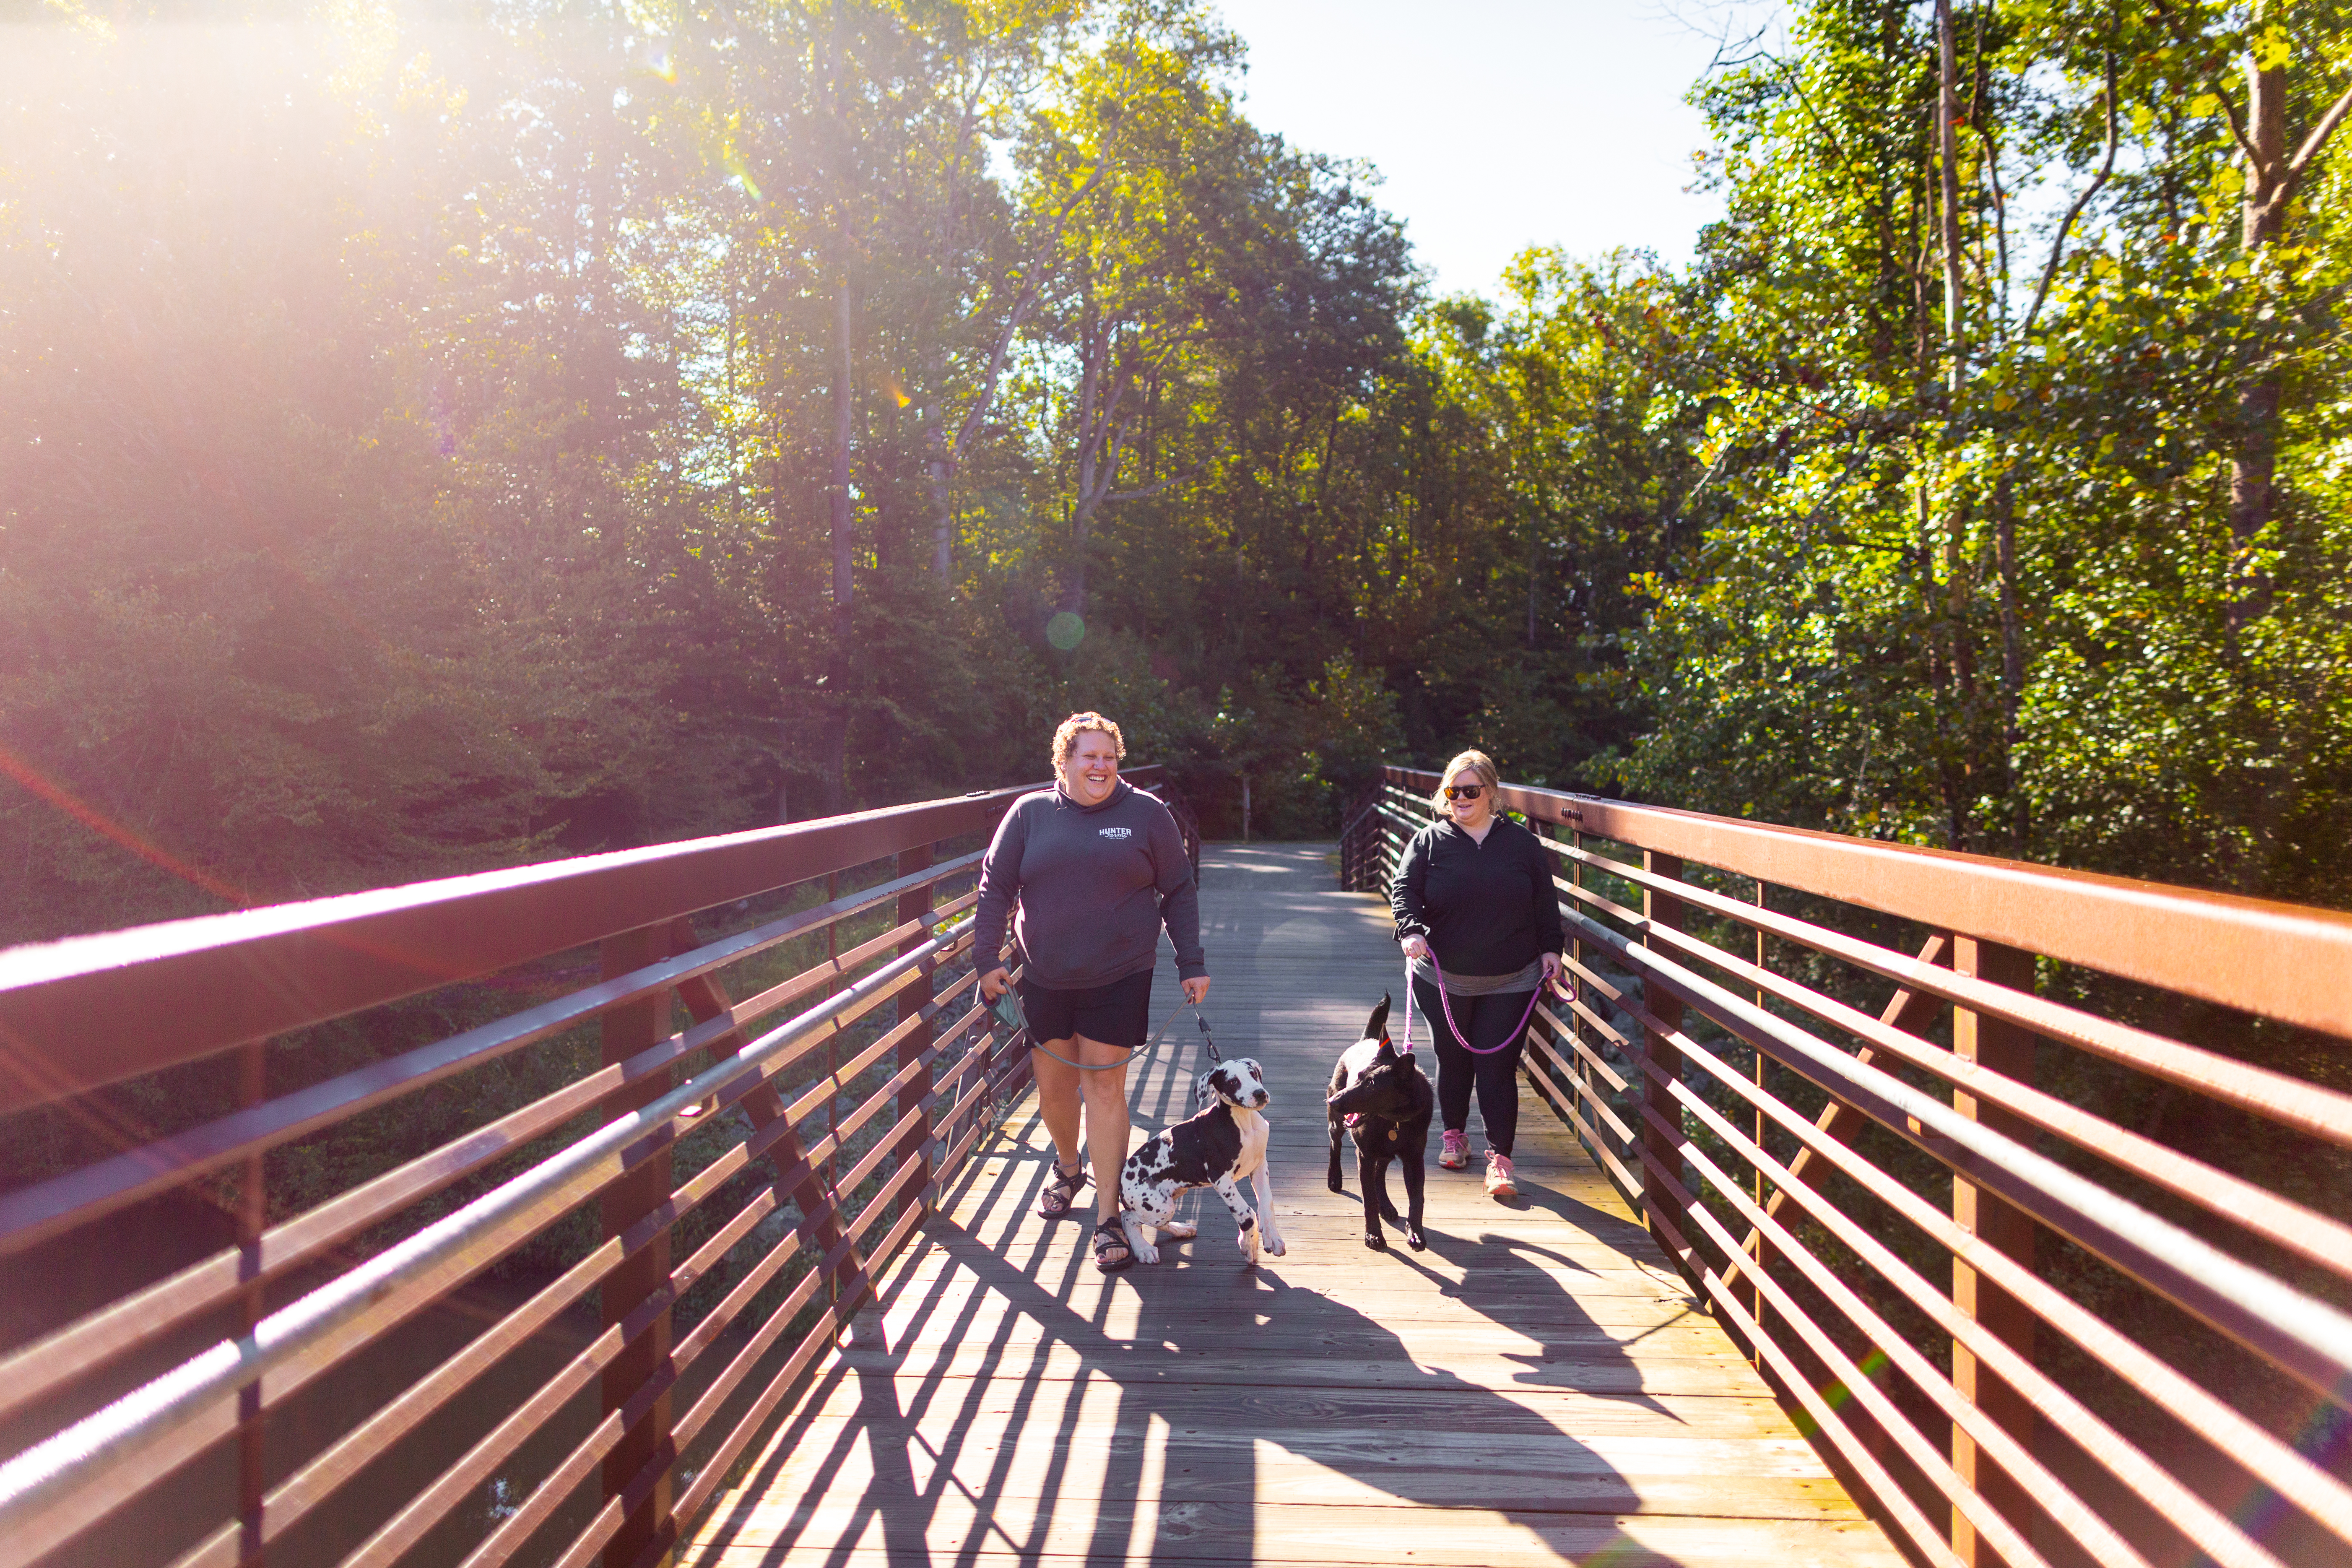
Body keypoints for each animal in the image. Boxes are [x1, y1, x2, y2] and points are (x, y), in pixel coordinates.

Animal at [1119, 1062, 1289, 1269]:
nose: (1260, 1094)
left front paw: (1272, 1238)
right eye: (1233, 1081)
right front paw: (1248, 1245)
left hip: (1171, 1199)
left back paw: (1181, 1230)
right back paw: (1143, 1249)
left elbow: (1267, 1203)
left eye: (1253, 1074)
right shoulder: (1221, 1178)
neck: (1244, 1122)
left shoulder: (1260, 1166)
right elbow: (1246, 1214)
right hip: (1159, 1206)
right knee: (1128, 1217)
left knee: (1151, 1221)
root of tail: (1121, 1183)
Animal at [1326, 1006, 1430, 1251]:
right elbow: (1369, 1200)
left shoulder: (1414, 1160)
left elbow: (1417, 1200)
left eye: (1371, 1085)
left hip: (1382, 1154)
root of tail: (1368, 1039)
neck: (1393, 1122)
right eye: (1358, 1077)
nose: (1333, 1102)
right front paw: (1373, 1235)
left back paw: (1387, 1205)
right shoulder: (1364, 1156)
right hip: (1337, 1126)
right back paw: (1334, 1178)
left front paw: (1416, 1233)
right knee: (1335, 1144)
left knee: (1380, 1175)